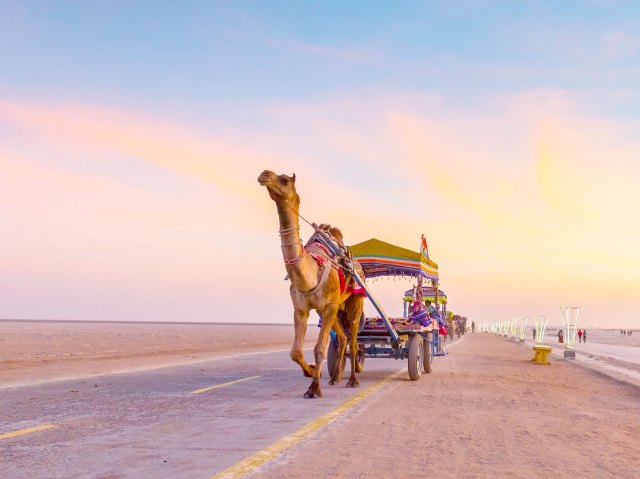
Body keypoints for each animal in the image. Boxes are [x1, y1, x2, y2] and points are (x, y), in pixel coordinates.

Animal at [256, 171, 364, 400]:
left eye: (284, 180)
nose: (264, 174)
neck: (310, 275)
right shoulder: (301, 309)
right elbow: (295, 352)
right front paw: (312, 372)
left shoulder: (329, 305)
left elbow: (319, 349)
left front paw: (314, 388)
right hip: (330, 310)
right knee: (342, 338)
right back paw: (335, 377)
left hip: (354, 301)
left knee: (353, 342)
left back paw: (352, 380)